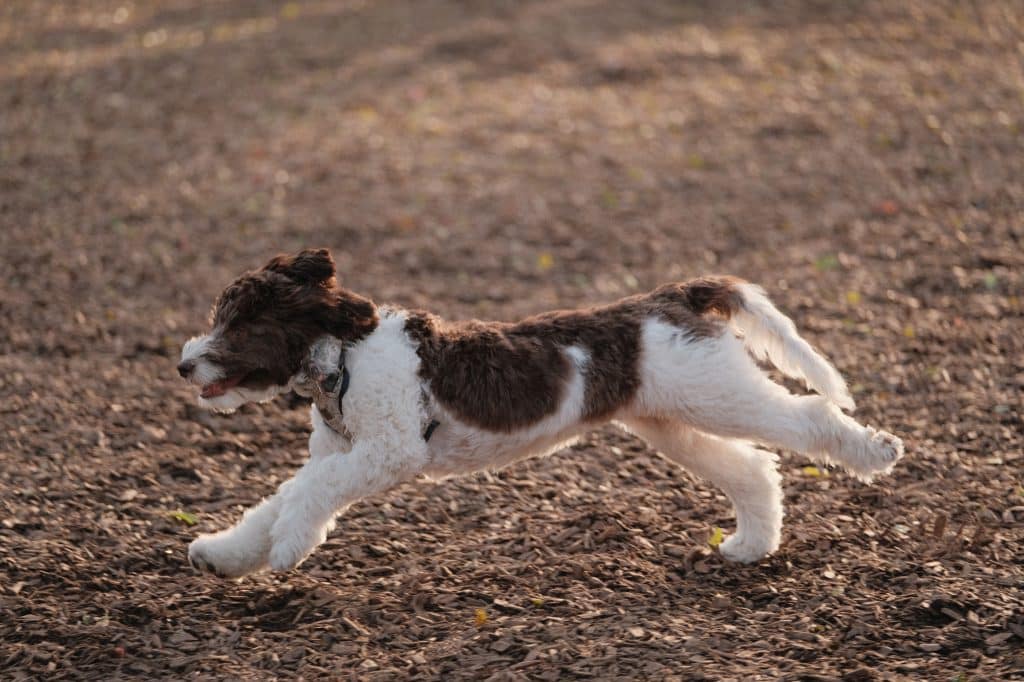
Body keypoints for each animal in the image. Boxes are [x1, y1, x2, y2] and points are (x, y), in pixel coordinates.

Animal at [180, 246, 901, 577]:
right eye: (219, 317)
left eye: (242, 325)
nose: (185, 365)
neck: (344, 358)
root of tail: (675, 295)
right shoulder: (342, 453)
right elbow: (280, 497)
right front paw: (224, 554)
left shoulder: (388, 452)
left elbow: (307, 495)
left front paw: (286, 547)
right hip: (672, 420)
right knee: (751, 471)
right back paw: (752, 546)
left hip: (718, 394)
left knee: (810, 417)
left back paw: (877, 453)